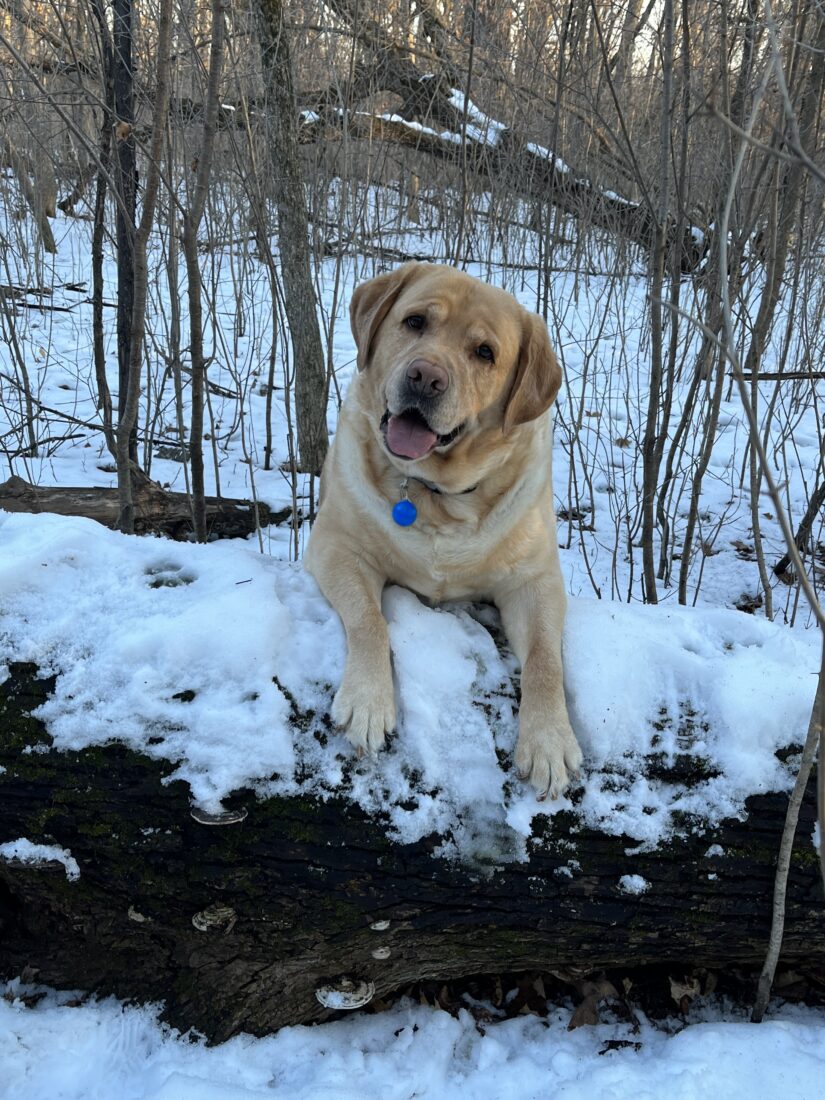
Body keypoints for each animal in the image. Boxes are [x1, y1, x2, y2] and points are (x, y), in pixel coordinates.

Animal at [308, 264, 585, 800]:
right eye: (415, 321)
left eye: (485, 353)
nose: (425, 377)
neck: (436, 494)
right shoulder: (335, 546)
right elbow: (369, 621)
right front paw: (368, 703)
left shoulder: (535, 581)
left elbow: (545, 659)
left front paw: (549, 740)